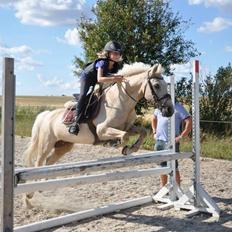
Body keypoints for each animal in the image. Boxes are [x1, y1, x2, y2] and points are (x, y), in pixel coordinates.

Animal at [23, 62, 173, 206]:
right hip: (46, 143)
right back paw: (29, 195)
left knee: (48, 162)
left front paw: (129, 150)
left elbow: (142, 132)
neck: (121, 100)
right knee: (39, 163)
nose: (170, 110)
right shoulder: (102, 130)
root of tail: (46, 115)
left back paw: (42, 186)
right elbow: (124, 136)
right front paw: (117, 144)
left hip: (63, 146)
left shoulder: (128, 127)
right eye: (156, 85)